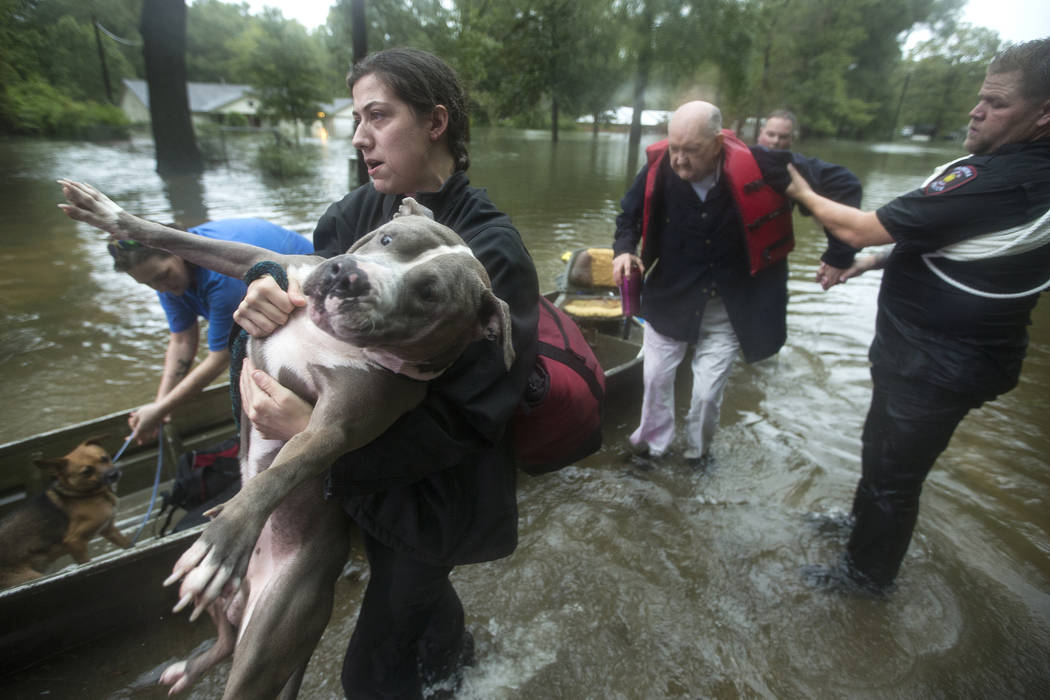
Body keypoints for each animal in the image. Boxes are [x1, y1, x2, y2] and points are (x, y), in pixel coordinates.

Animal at [0, 434, 133, 587]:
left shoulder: (109, 529)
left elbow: (128, 544)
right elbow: (86, 563)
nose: (114, 474)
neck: (82, 494)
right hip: (29, 577)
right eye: (87, 471)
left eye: (105, 458)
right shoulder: (74, 542)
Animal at [58, 179, 516, 696]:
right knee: (223, 640)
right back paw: (186, 668)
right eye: (387, 238)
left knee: (239, 660)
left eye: (429, 293)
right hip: (221, 611)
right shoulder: (265, 262)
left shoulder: (333, 427)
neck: (328, 335)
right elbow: (180, 240)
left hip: (271, 632)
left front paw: (224, 542)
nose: (346, 275)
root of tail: (248, 591)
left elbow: (280, 472)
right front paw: (109, 215)